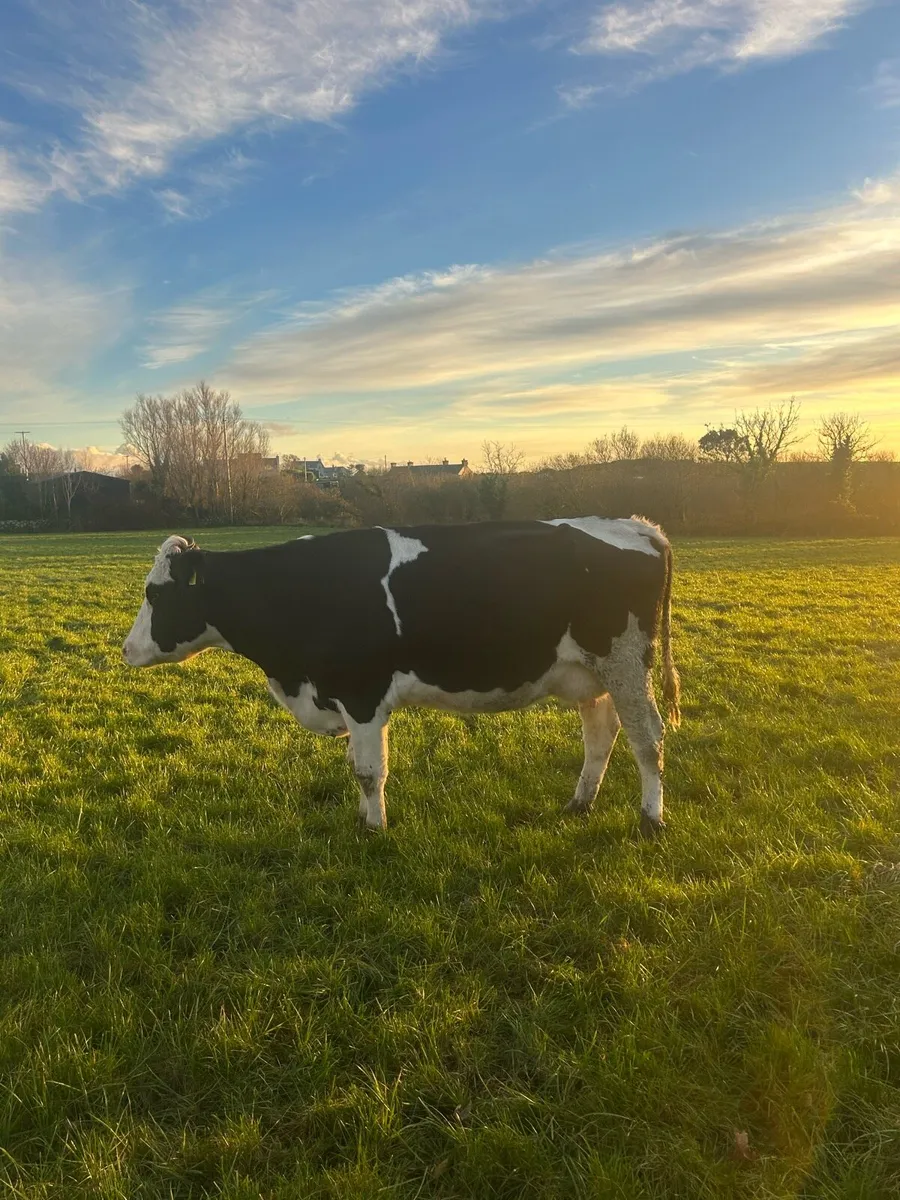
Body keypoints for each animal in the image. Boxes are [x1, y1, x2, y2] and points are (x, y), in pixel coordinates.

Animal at [122, 517, 680, 836]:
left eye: (155, 594)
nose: (125, 649)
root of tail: (639, 525)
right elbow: (357, 766)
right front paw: (365, 820)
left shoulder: (363, 694)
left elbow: (369, 771)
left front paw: (375, 829)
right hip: (595, 674)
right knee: (602, 736)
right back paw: (579, 804)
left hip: (627, 663)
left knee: (648, 737)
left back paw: (651, 819)